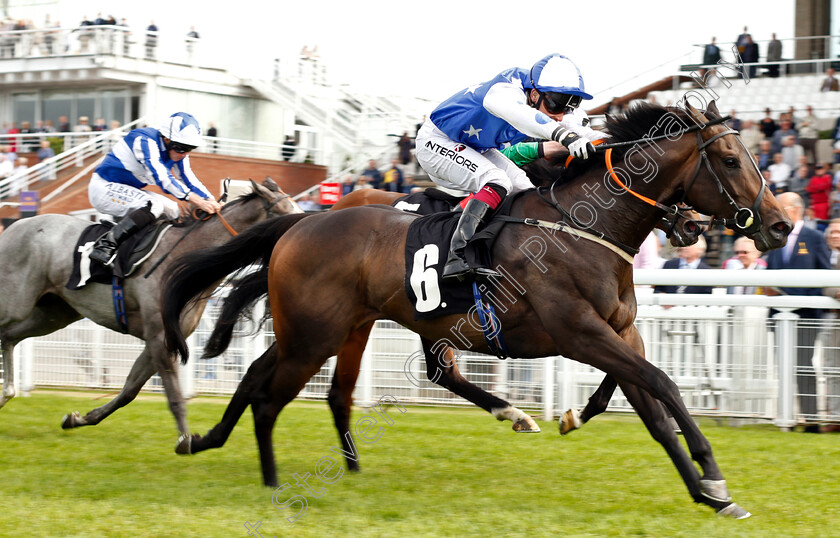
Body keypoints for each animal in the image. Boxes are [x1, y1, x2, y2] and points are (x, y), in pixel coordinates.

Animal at [0, 178, 302, 438]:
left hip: (53, 313)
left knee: (9, 337)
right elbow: (173, 394)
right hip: (17, 302)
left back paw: (7, 393)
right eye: (285, 214)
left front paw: (79, 419)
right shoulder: (158, 335)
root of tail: (12, 227)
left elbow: (129, 390)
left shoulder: (161, 339)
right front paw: (186, 439)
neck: (187, 263)